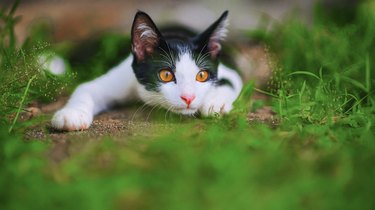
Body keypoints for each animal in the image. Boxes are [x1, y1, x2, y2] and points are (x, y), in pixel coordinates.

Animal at [50, 11, 244, 131]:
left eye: (202, 75)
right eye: (166, 75)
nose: (188, 98)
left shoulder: (229, 70)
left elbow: (231, 81)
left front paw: (215, 104)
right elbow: (87, 88)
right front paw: (71, 115)